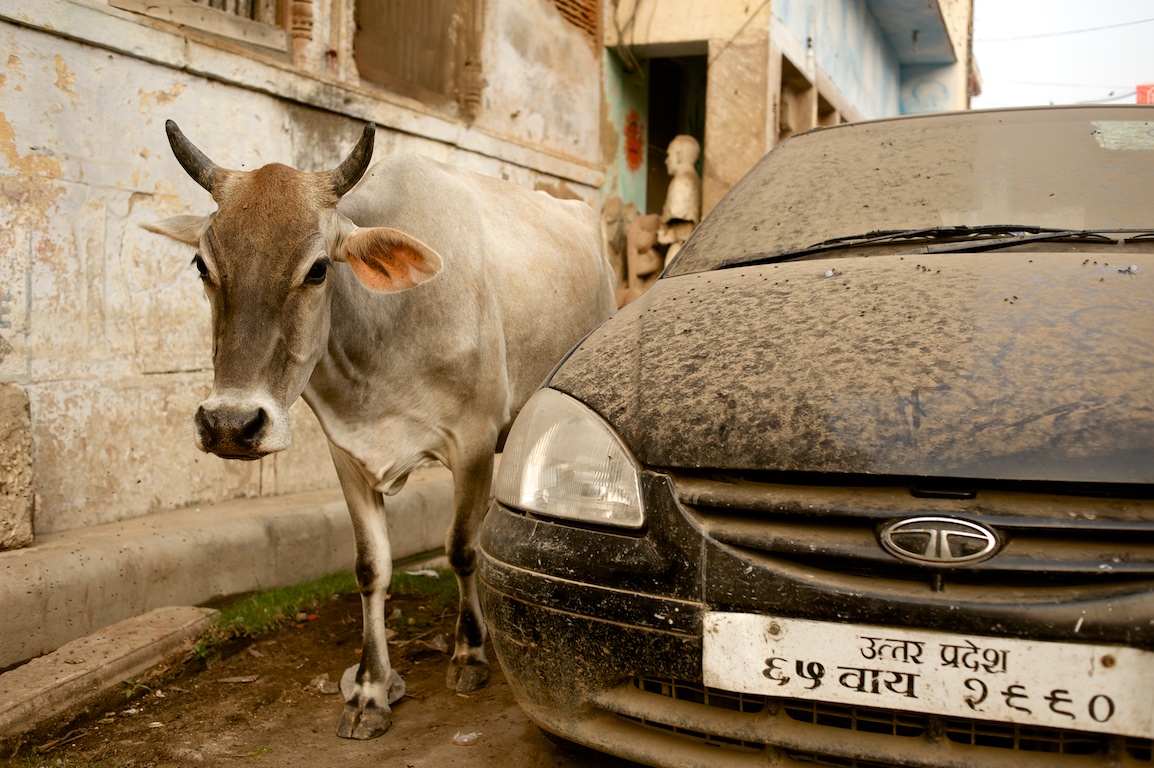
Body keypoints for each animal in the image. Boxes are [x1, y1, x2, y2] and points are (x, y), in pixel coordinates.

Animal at [143, 120, 616, 739]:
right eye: (203, 265)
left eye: (318, 268)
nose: (230, 424)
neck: (378, 343)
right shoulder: (346, 453)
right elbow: (372, 568)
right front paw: (370, 689)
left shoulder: (472, 441)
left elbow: (461, 547)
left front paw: (469, 652)